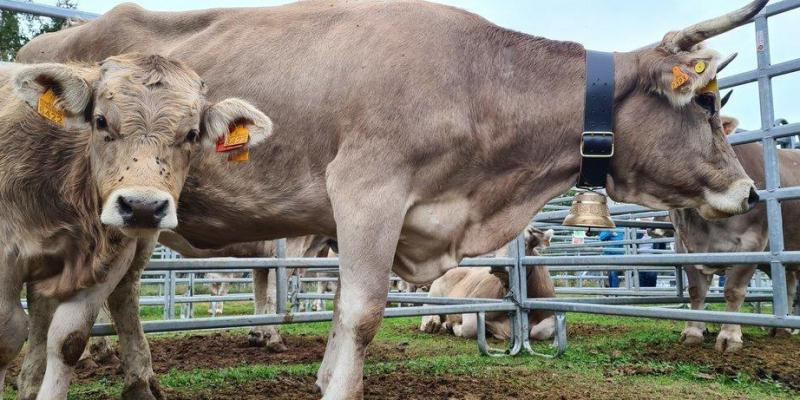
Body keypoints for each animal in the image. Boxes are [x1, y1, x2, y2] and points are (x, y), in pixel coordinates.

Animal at [0, 57, 276, 400]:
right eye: (100, 120)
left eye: (192, 134)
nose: (142, 206)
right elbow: (6, 335)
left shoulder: (108, 261)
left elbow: (68, 340)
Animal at [418, 227, 556, 340]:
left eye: (525, 244)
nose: (498, 265)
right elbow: (470, 328)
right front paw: (453, 327)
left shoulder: (550, 313)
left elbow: (539, 331)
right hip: (435, 292)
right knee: (428, 309)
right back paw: (432, 323)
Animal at [676, 116, 800, 354]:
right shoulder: (685, 248)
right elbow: (696, 290)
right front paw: (693, 332)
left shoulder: (752, 242)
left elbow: (733, 290)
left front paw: (729, 336)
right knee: (788, 285)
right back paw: (781, 329)